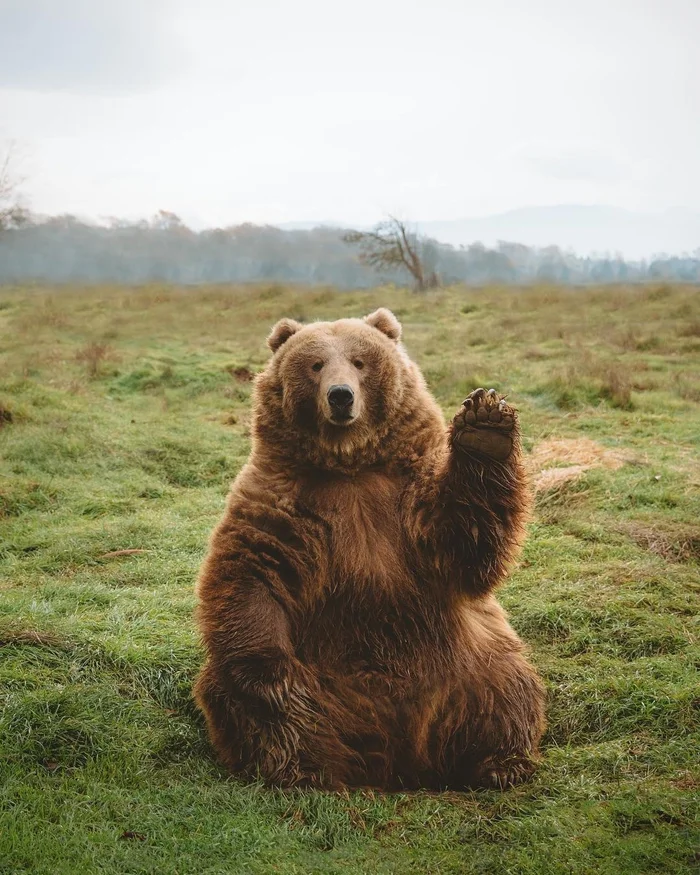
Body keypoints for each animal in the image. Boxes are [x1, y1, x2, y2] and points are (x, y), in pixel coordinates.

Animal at [193, 310, 548, 792]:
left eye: (360, 361)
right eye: (315, 364)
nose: (341, 396)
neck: (351, 465)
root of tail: (398, 756)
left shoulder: (409, 499)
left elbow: (466, 541)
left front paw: (484, 425)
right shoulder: (281, 502)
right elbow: (251, 572)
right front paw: (269, 673)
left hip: (467, 664)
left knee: (505, 688)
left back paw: (497, 763)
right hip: (326, 682)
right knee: (265, 713)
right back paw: (304, 769)